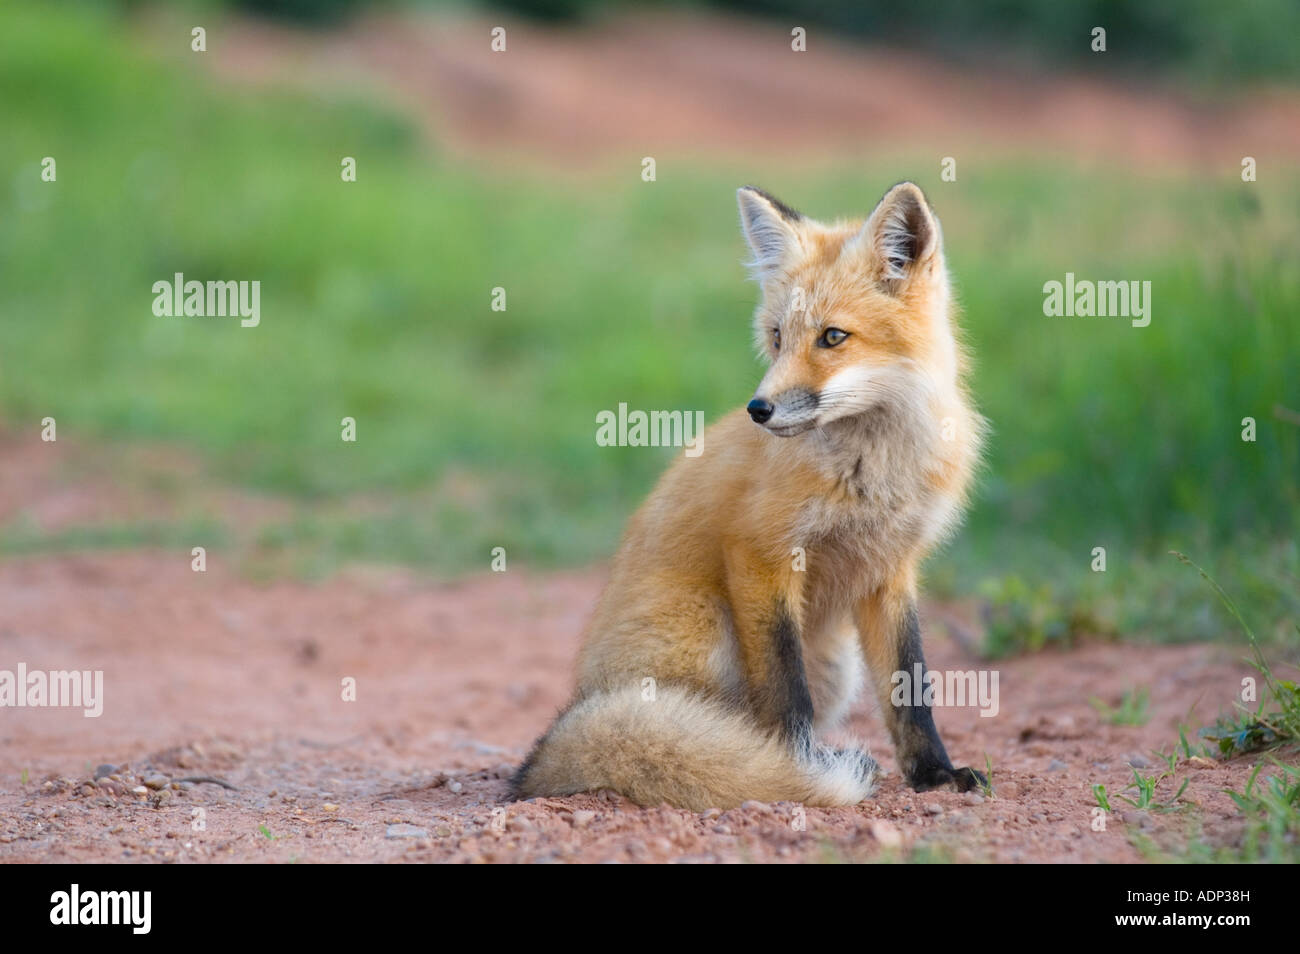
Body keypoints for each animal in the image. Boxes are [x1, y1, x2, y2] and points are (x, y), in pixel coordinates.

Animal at [512, 183, 977, 811]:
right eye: (777, 337)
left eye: (833, 337)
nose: (759, 409)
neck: (871, 471)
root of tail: (579, 703)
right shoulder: (761, 553)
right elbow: (785, 693)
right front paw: (794, 772)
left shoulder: (891, 569)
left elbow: (911, 690)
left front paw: (935, 774)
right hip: (711, 626)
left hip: (837, 664)